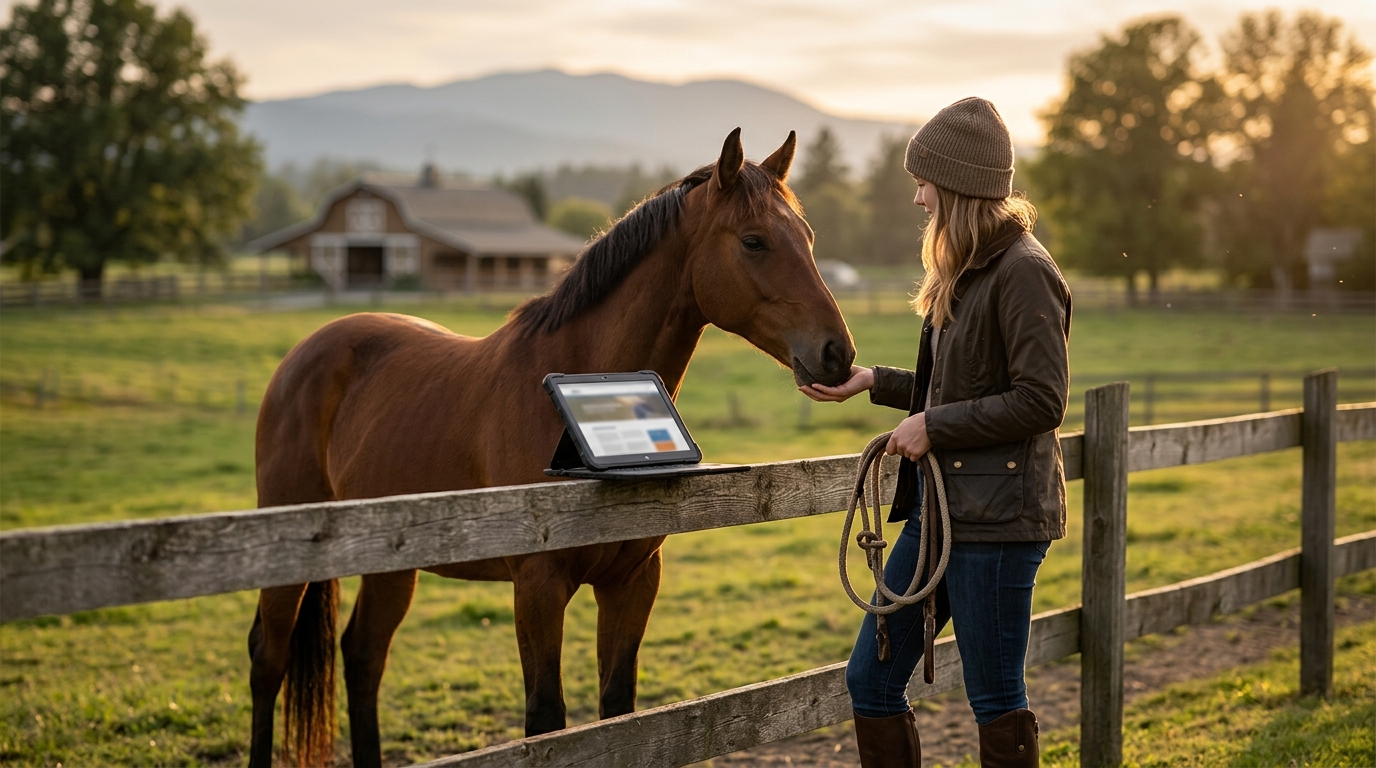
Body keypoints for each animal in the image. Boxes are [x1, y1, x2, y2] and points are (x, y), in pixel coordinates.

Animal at [247, 128, 856, 768]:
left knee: (363, 655)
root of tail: (305, 353)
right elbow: (546, 720)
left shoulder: (632, 583)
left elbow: (619, 711)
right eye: (754, 241)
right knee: (269, 658)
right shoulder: (538, 587)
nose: (837, 353)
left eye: (808, 238)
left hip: (391, 565)